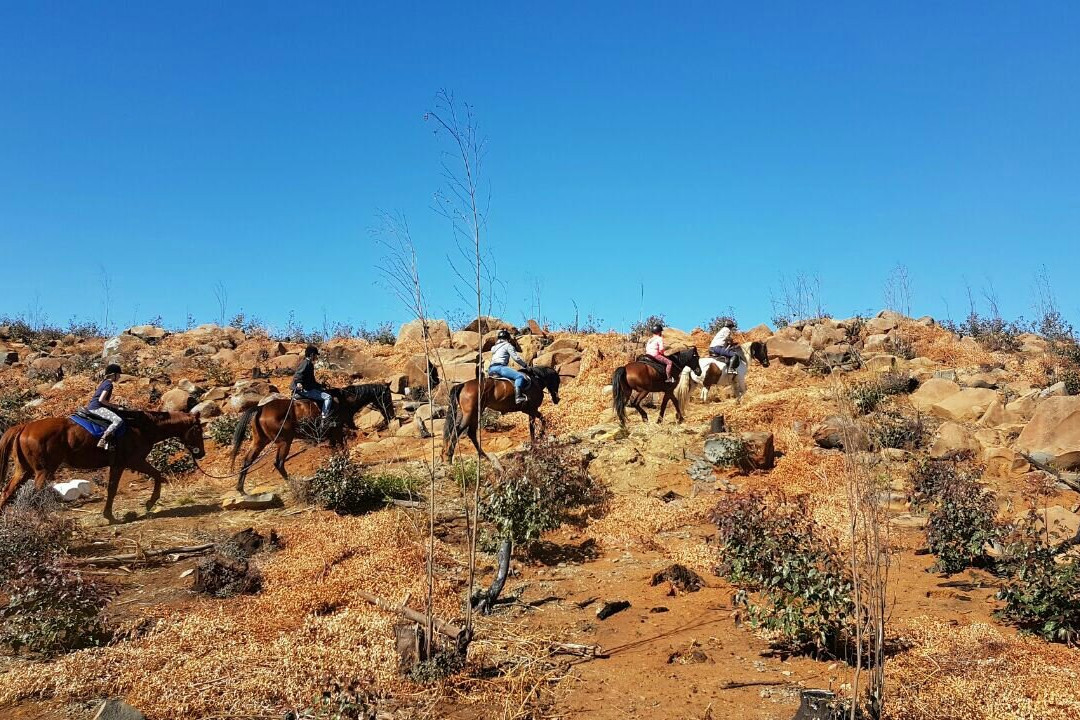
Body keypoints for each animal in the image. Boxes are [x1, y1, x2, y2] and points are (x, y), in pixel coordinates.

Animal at [0, 410, 205, 524]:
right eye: (197, 430)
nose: (201, 453)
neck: (142, 427)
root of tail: (24, 427)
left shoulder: (122, 464)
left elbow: (116, 488)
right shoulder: (130, 462)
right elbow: (154, 475)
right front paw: (148, 503)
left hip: (23, 471)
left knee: (7, 492)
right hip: (43, 471)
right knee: (35, 495)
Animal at [230, 382, 395, 496]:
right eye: (386, 396)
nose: (391, 416)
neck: (344, 401)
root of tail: (261, 408)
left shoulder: (333, 435)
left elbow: (336, 452)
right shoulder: (337, 431)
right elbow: (343, 451)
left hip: (260, 441)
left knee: (247, 461)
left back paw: (241, 489)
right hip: (284, 442)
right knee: (279, 463)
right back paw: (292, 483)